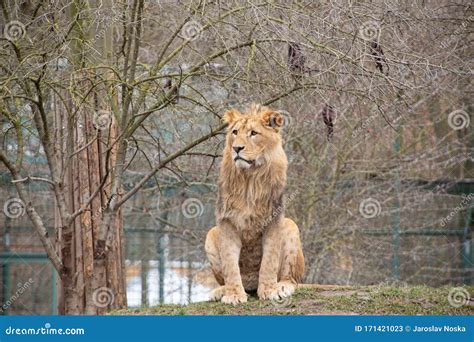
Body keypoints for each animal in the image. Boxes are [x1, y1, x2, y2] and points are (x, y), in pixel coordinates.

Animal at [206, 103, 306, 304]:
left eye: (253, 133)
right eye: (235, 132)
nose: (237, 148)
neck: (249, 178)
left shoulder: (274, 220)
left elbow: (269, 260)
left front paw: (269, 290)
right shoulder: (226, 222)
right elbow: (230, 263)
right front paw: (233, 295)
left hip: (290, 225)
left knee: (291, 278)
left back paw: (282, 286)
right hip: (210, 234)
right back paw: (220, 291)